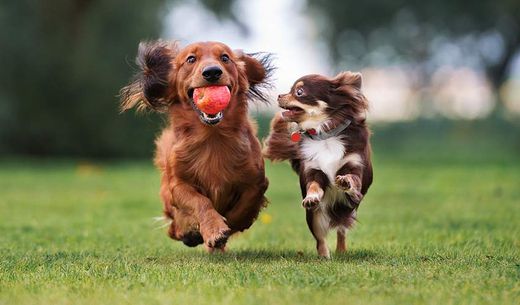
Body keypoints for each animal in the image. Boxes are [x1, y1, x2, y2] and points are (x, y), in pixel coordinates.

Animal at [266, 72, 372, 258]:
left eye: (299, 92)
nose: (279, 95)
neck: (325, 135)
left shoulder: (355, 165)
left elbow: (353, 179)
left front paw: (345, 181)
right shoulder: (313, 170)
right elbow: (314, 185)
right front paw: (311, 197)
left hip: (348, 211)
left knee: (341, 231)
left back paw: (341, 251)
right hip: (314, 217)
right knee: (320, 239)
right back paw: (324, 256)